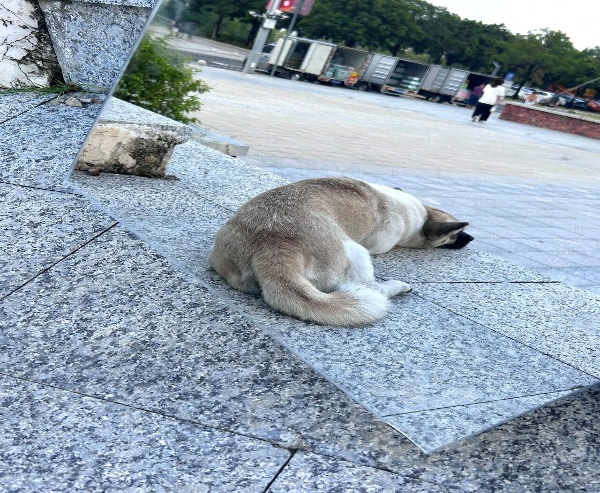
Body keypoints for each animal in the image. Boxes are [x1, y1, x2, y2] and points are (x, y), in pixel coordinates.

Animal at [209, 177, 472, 326]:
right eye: (455, 235)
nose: (471, 238)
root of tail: (274, 245)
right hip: (356, 252)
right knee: (372, 289)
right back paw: (397, 287)